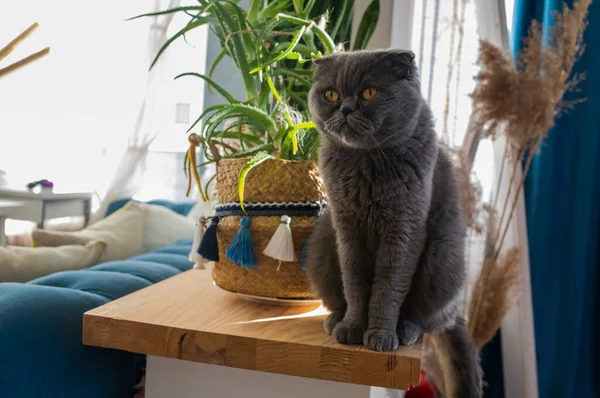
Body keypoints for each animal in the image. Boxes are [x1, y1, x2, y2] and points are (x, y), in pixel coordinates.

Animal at [304, 50, 482, 398]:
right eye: (331, 94)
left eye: (369, 92)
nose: (346, 108)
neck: (365, 164)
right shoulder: (346, 228)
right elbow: (355, 282)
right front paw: (352, 328)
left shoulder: (404, 229)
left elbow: (388, 287)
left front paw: (380, 334)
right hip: (322, 246)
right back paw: (334, 320)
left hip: (444, 257)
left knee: (428, 321)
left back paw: (405, 329)